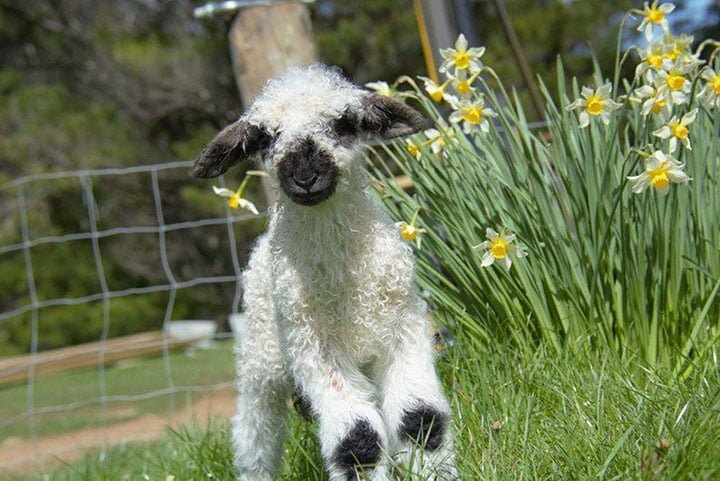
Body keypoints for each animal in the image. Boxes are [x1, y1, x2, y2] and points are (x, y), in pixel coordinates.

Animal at [188, 63, 452, 480]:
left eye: (344, 123)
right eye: (265, 138)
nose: (305, 175)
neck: (344, 276)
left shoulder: (405, 329)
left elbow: (420, 419)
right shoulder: (316, 349)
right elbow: (357, 439)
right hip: (264, 350)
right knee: (254, 428)